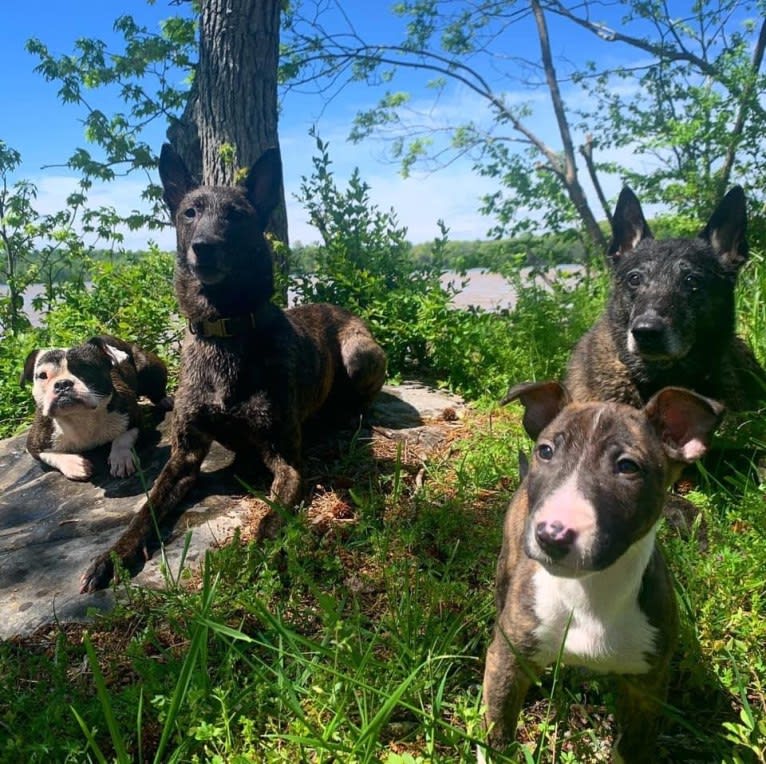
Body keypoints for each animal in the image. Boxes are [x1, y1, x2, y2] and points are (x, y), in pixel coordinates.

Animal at [20, 334, 172, 478]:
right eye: (42, 375)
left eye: (87, 369)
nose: (62, 384)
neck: (80, 417)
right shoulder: (34, 444)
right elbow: (49, 454)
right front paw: (74, 464)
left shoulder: (134, 419)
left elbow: (123, 439)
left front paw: (120, 458)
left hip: (148, 365)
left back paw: (165, 400)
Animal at [81, 146, 388, 592]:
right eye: (189, 212)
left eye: (237, 215)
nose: (204, 247)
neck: (225, 329)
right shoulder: (186, 455)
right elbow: (146, 509)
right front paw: (113, 556)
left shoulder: (286, 460)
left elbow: (271, 519)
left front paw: (253, 561)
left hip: (359, 355)